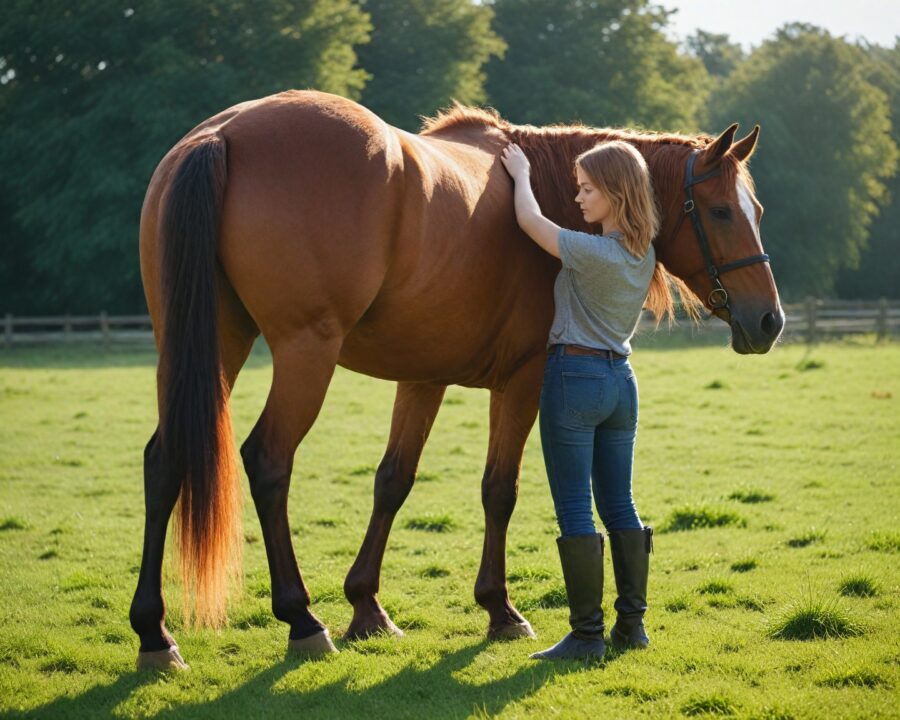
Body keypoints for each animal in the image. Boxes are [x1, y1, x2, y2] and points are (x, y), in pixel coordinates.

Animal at [130, 89, 783, 669]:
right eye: (721, 211)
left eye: (757, 212)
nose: (769, 321)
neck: (552, 196)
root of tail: (225, 134)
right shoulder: (523, 379)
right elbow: (500, 489)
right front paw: (499, 610)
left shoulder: (423, 379)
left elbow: (393, 481)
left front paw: (367, 608)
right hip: (303, 352)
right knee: (268, 461)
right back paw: (301, 619)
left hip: (209, 343)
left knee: (164, 460)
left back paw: (154, 634)